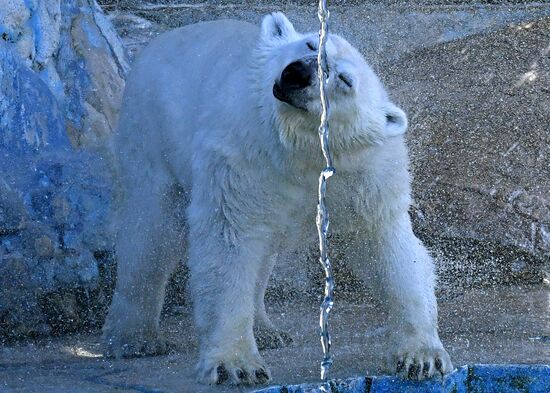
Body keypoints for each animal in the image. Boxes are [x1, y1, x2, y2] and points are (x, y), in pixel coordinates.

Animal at [102, 13, 452, 386]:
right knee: (152, 236)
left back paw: (267, 330)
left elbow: (386, 245)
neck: (302, 151)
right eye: (310, 44)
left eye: (345, 80)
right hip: (151, 132)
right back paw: (133, 339)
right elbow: (231, 242)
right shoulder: (243, 157)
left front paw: (422, 357)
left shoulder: (367, 173)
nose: (298, 73)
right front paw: (236, 365)